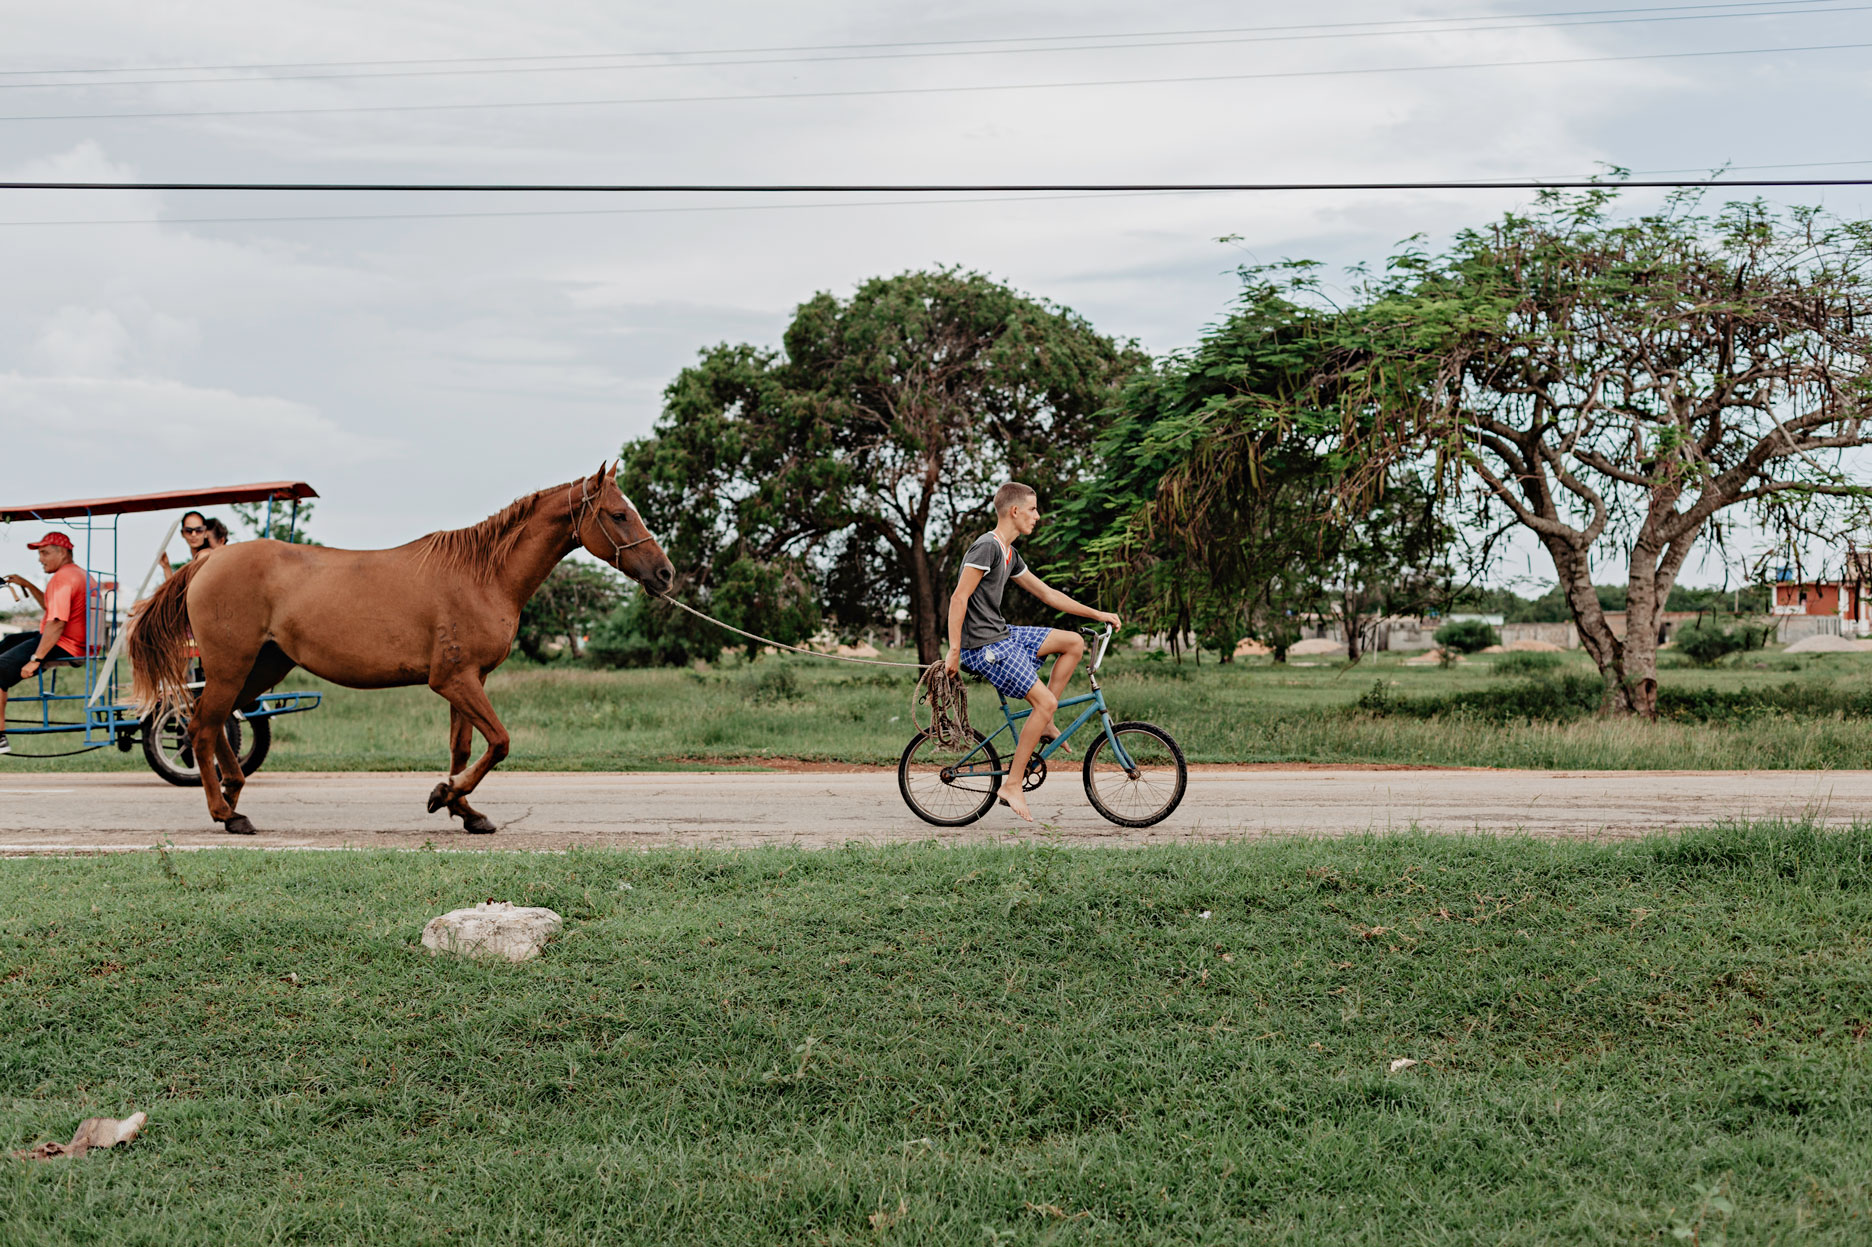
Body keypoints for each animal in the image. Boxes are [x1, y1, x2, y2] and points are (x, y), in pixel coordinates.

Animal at [130, 460, 673, 831]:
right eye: (619, 515)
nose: (665, 574)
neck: (482, 575)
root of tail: (207, 562)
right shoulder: (454, 681)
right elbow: (499, 742)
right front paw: (444, 794)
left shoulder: (466, 682)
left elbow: (463, 748)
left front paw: (464, 808)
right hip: (231, 666)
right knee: (202, 727)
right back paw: (225, 812)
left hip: (261, 668)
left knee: (218, 722)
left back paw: (235, 796)